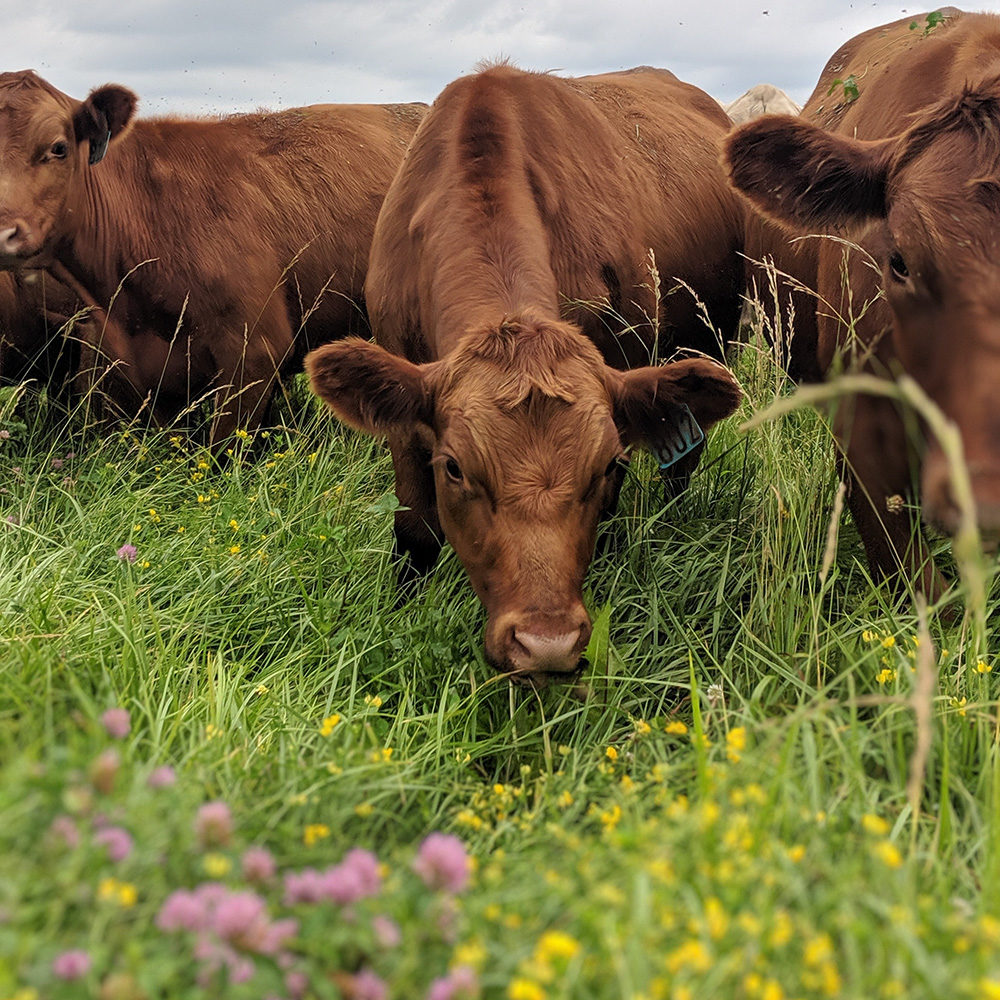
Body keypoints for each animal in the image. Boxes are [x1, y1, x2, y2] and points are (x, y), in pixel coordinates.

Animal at [308, 64, 748, 680]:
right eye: (454, 468)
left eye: (606, 465)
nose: (546, 643)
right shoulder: (403, 408)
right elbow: (415, 530)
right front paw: (402, 611)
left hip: (710, 343)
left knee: (683, 460)